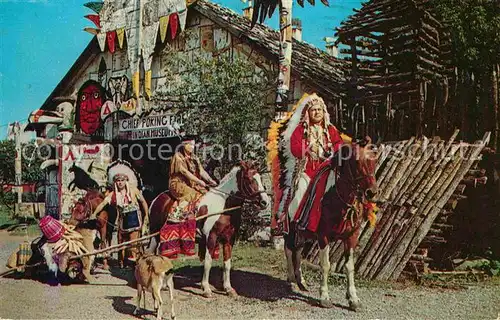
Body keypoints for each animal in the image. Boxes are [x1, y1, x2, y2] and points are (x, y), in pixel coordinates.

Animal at [148, 161, 270, 298]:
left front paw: (228, 288)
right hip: (154, 234)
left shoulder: (229, 239)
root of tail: (156, 199)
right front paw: (206, 289)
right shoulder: (211, 237)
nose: (265, 202)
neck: (224, 207)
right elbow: (208, 262)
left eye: (260, 178)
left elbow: (227, 264)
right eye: (248, 179)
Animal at [284, 139, 376, 312]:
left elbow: (349, 267)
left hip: (304, 235)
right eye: (356, 162)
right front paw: (324, 297)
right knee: (288, 250)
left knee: (298, 252)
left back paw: (301, 281)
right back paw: (292, 278)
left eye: (374, 159)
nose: (371, 192)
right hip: (291, 231)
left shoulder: (352, 236)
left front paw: (353, 299)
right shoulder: (323, 236)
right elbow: (325, 265)